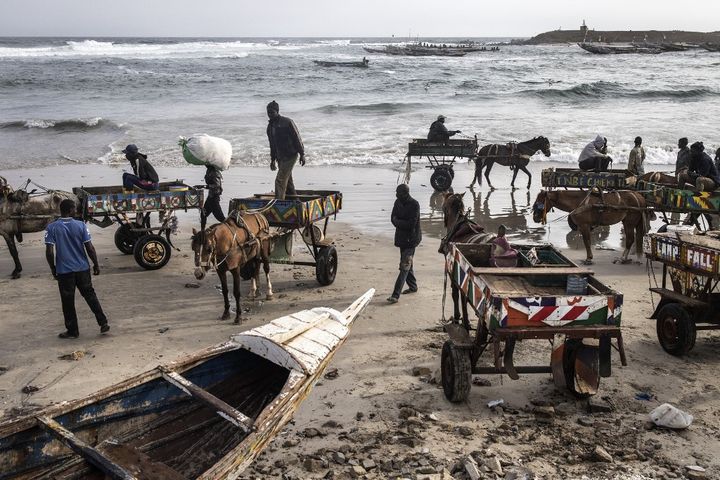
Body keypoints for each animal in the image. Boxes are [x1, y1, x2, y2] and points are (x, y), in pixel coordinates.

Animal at [438, 193, 496, 328]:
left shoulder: (454, 271)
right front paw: (465, 320)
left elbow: (456, 294)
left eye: (443, 206)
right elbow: (463, 296)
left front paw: (459, 318)